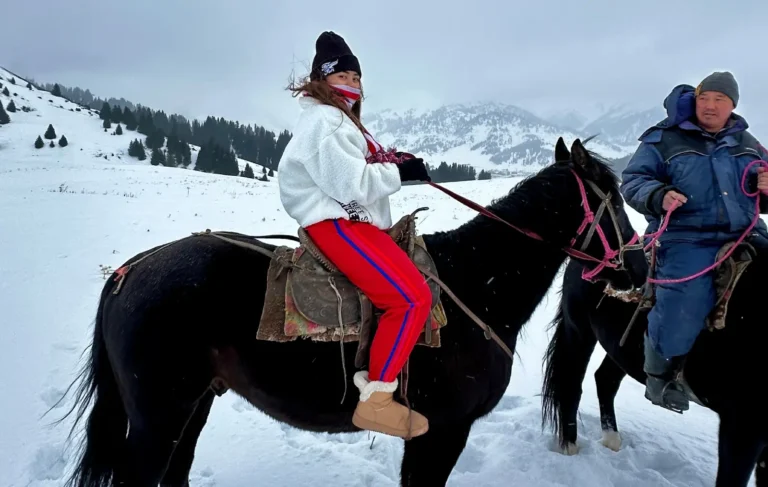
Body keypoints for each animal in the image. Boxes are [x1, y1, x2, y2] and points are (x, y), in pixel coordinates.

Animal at [61, 138, 648, 487]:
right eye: (617, 201)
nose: (639, 272)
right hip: (158, 418)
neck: (477, 285)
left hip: (192, 407)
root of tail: (131, 270)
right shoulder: (443, 432)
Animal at [544, 244, 768, 487]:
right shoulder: (741, 427)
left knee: (605, 379)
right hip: (579, 331)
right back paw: (570, 447)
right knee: (571, 384)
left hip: (621, 348)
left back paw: (612, 440)